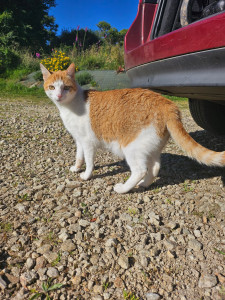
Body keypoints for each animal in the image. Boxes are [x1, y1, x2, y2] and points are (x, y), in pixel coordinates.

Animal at [40, 63, 225, 195]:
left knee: (140, 170)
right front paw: (77, 167)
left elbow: (90, 161)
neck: (69, 106)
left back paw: (123, 188)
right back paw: (144, 184)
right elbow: (79, 156)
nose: (59, 95)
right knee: (155, 167)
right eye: (52, 87)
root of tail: (167, 103)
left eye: (65, 87)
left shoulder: (87, 142)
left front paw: (86, 175)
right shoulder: (79, 140)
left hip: (131, 148)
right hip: (150, 147)